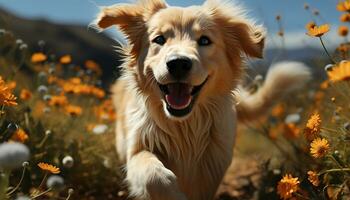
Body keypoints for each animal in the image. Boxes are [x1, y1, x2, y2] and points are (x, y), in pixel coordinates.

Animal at [92, 0, 308, 199]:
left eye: (204, 40)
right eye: (159, 39)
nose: (178, 63)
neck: (185, 126)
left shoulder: (212, 165)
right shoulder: (139, 145)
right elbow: (154, 175)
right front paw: (174, 193)